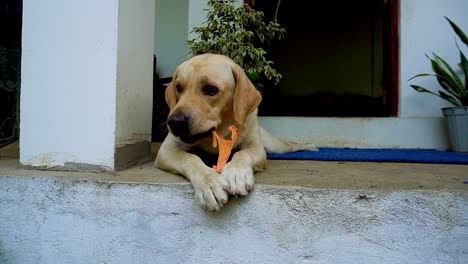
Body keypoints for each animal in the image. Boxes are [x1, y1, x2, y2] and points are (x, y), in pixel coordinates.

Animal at [156, 53, 314, 210]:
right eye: (178, 87)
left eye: (210, 89)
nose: (174, 122)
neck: (218, 134)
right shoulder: (167, 150)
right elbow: (191, 159)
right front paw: (209, 183)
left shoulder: (256, 147)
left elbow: (242, 153)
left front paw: (236, 174)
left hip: (276, 146)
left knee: (291, 145)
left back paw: (311, 146)